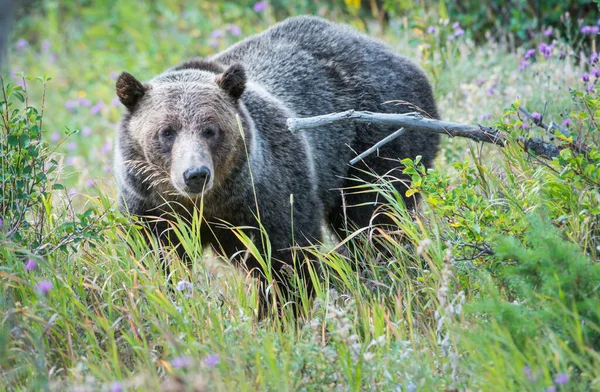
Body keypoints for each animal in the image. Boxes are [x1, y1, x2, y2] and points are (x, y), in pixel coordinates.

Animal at [113, 16, 440, 312]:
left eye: (211, 129)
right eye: (166, 132)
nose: (195, 174)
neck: (211, 202)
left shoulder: (269, 193)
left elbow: (286, 259)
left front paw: (280, 315)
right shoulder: (151, 207)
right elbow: (157, 258)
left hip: (378, 142)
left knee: (376, 219)